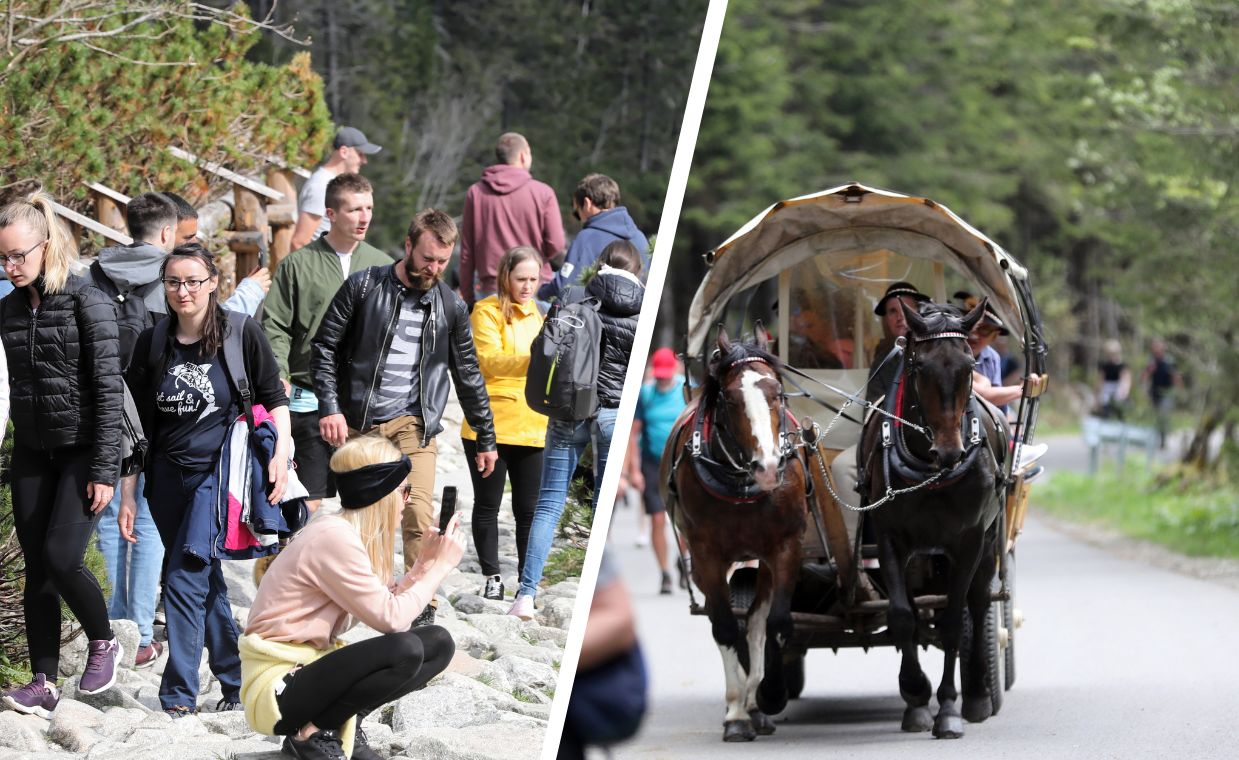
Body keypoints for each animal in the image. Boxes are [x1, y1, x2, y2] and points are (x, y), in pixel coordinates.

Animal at [664, 327, 807, 738]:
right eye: (729, 398)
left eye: (777, 391)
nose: (768, 467)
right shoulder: (707, 557)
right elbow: (726, 628)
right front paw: (736, 713)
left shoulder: (785, 547)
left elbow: (776, 623)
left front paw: (768, 693)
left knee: (757, 622)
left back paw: (758, 700)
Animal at [857, 298, 1011, 738]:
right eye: (919, 366)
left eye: (968, 365)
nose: (950, 451)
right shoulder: (890, 540)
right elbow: (902, 616)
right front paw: (916, 697)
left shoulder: (969, 540)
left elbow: (953, 622)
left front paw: (948, 709)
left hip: (989, 541)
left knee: (978, 602)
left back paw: (976, 694)